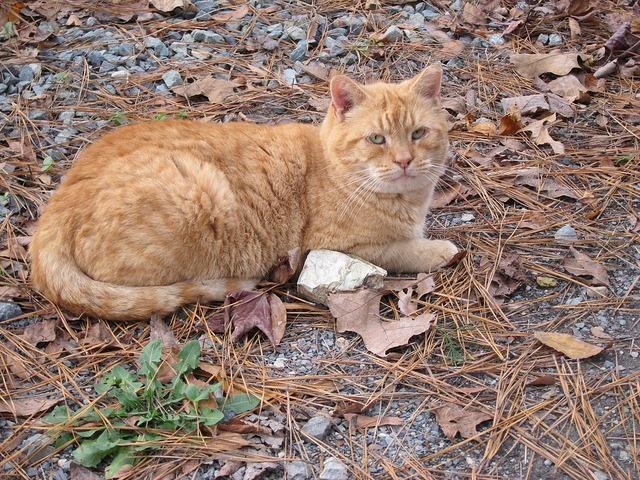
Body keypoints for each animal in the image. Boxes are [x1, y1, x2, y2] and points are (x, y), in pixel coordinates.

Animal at [31, 63, 456, 318]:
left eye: (418, 134)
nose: (404, 161)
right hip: (198, 196)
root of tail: (56, 205)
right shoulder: (337, 246)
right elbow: (404, 249)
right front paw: (439, 249)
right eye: (376, 139)